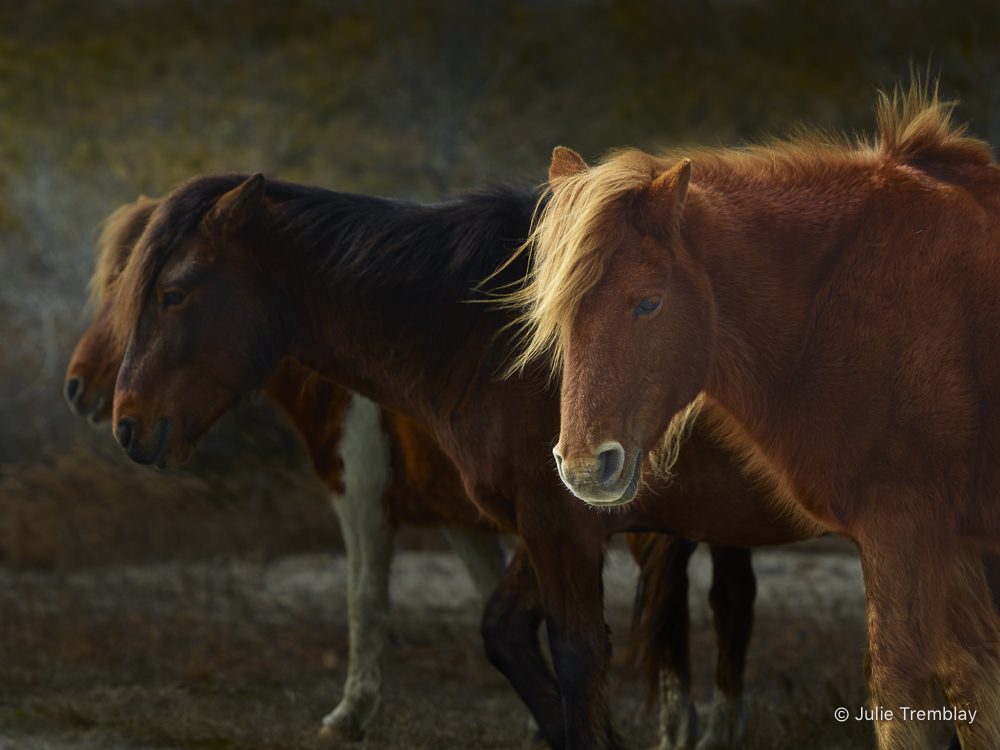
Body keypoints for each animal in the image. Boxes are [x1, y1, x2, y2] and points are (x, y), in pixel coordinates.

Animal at [105, 176, 824, 749]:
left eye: (173, 294)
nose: (126, 423)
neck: (498, 342)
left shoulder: (560, 523)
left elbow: (575, 656)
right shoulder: (541, 519)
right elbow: (504, 631)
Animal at [517, 83, 1000, 750]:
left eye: (649, 303)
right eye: (559, 313)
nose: (588, 467)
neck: (843, 296)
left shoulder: (903, 522)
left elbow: (901, 688)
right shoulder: (949, 538)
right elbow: (972, 684)